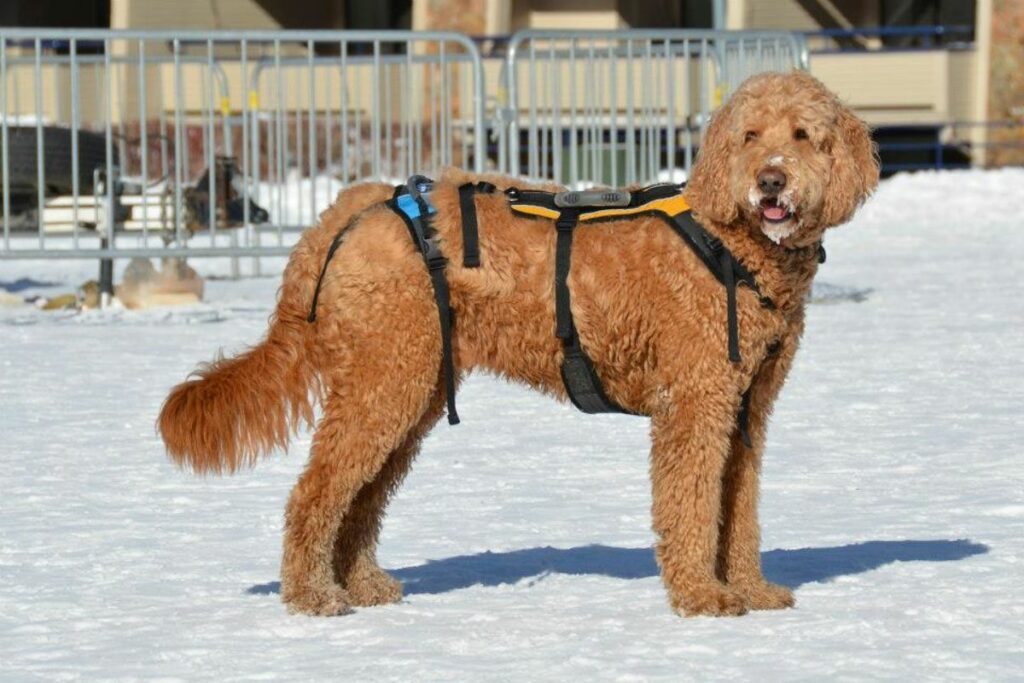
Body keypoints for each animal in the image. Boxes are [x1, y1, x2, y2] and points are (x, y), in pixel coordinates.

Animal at [159, 72, 880, 618]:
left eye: (803, 136)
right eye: (749, 136)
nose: (771, 181)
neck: (730, 244)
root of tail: (354, 207)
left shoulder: (747, 405)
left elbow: (740, 508)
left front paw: (751, 588)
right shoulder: (696, 403)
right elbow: (693, 505)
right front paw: (702, 596)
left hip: (409, 388)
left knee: (360, 498)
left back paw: (360, 585)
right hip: (383, 382)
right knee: (315, 494)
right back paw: (311, 596)